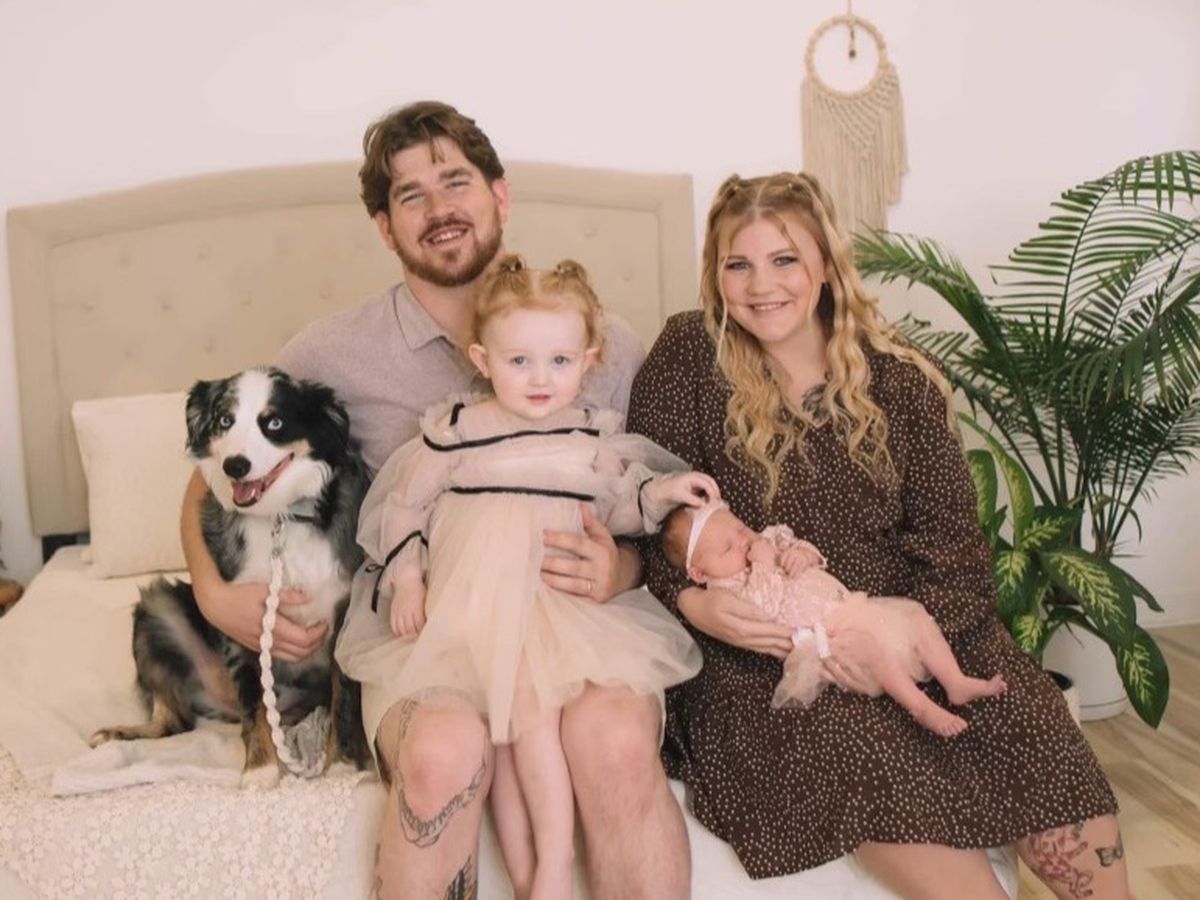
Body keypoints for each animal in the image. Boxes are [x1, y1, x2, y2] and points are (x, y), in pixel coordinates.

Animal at [91, 366, 372, 785]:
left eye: (274, 423)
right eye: (225, 420)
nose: (235, 466)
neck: (280, 521)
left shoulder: (347, 615)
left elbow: (346, 699)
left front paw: (341, 763)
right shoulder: (243, 619)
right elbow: (255, 704)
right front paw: (260, 768)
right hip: (157, 608)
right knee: (175, 722)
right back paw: (118, 735)